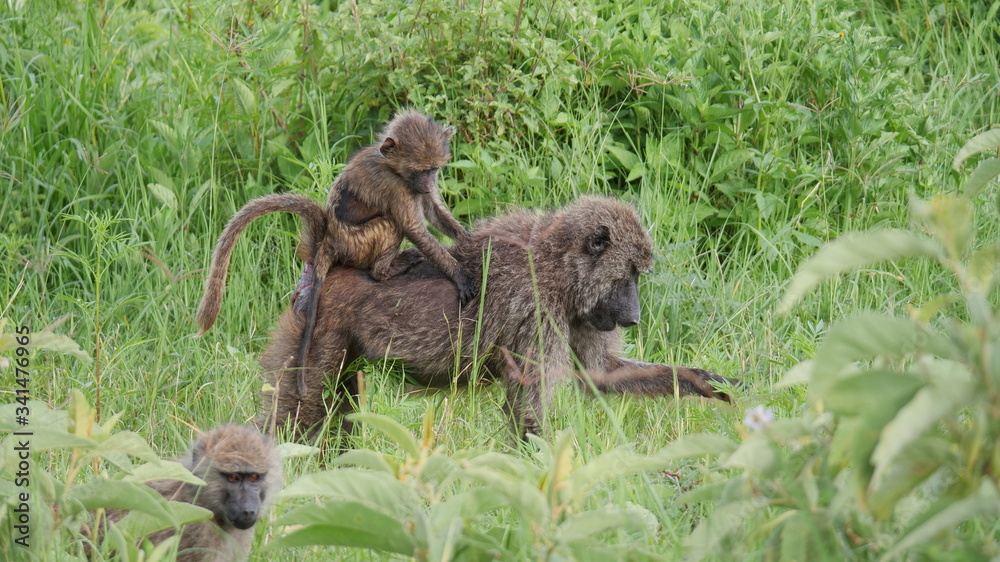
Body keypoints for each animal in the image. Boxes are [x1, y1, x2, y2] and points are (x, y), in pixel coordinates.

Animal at [196, 110, 475, 399]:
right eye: (421, 170)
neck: (391, 166)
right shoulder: (395, 186)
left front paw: (468, 239)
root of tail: (329, 243)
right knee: (388, 224)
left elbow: (434, 210)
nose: (429, 184)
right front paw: (461, 276)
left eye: (434, 169)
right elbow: (413, 227)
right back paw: (386, 270)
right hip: (359, 246)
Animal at [255, 196, 738, 441]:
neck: (556, 267)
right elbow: (529, 406)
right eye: (629, 275)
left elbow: (601, 374)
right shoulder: (539, 310)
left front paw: (702, 382)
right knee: (299, 413)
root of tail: (327, 266)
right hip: (319, 331)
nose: (632, 319)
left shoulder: (583, 316)